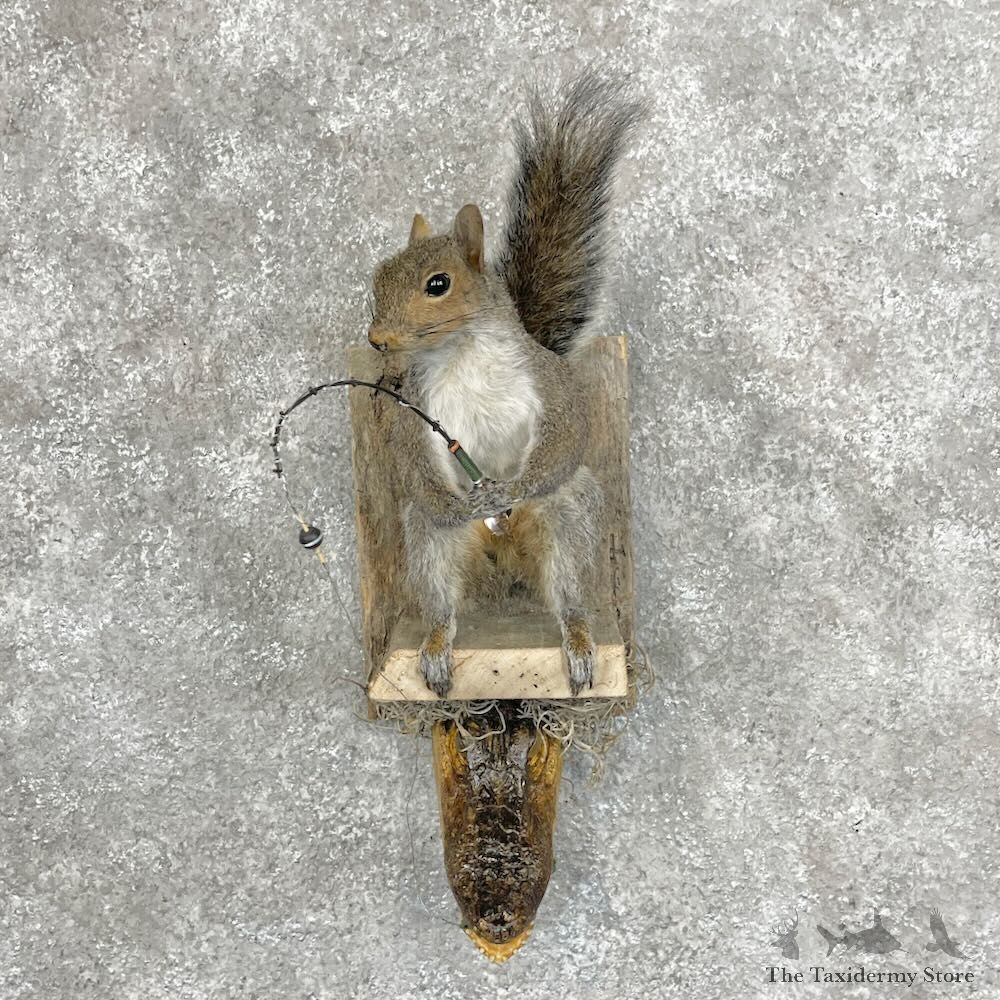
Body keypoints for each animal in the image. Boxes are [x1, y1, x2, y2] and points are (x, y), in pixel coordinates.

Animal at [367, 72, 645, 698]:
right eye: (378, 278)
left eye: (438, 284)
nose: (376, 339)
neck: (461, 354)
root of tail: (503, 558)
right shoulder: (413, 406)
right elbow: (407, 458)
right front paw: (457, 500)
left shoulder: (548, 381)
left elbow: (568, 432)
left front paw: (508, 489)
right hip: (431, 545)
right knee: (442, 594)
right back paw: (438, 645)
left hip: (567, 519)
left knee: (566, 587)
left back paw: (578, 640)